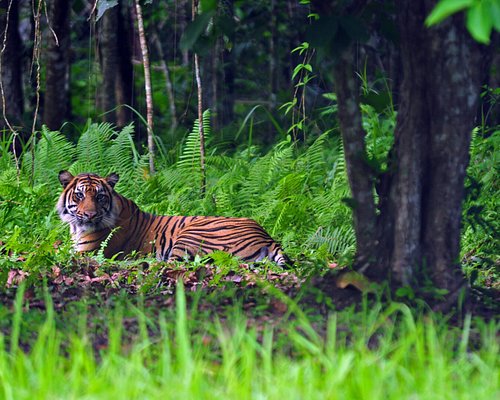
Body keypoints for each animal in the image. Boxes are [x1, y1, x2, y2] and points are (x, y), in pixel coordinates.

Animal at [56, 170, 290, 264]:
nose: (90, 215)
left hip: (190, 235)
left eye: (100, 197)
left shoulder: (85, 253)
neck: (76, 228)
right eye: (79, 195)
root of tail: (266, 235)